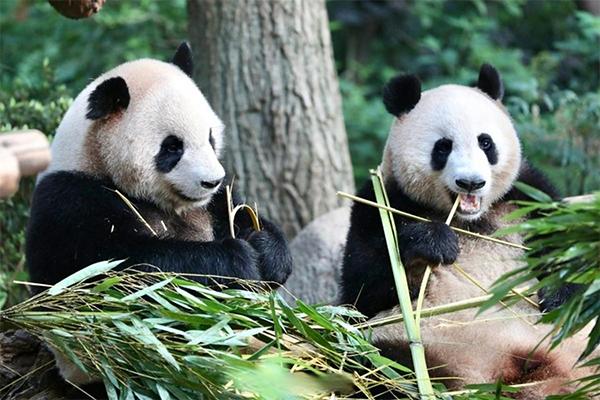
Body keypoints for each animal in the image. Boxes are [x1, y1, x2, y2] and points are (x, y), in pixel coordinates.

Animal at [338, 65, 596, 396]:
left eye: (486, 143)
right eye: (443, 147)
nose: (471, 183)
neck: (469, 220)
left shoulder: (528, 195)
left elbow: (566, 247)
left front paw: (556, 295)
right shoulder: (379, 201)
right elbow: (363, 288)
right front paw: (435, 242)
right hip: (420, 344)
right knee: (381, 365)